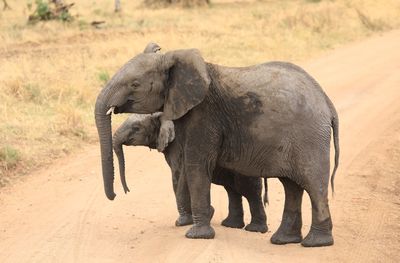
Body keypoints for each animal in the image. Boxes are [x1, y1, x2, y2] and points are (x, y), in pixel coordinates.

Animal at [112, 114, 268, 234]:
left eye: (136, 128)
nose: (126, 190)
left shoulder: (177, 145)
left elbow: (178, 175)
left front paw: (184, 221)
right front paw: (205, 215)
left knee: (248, 190)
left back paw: (255, 229)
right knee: (233, 189)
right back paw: (231, 225)